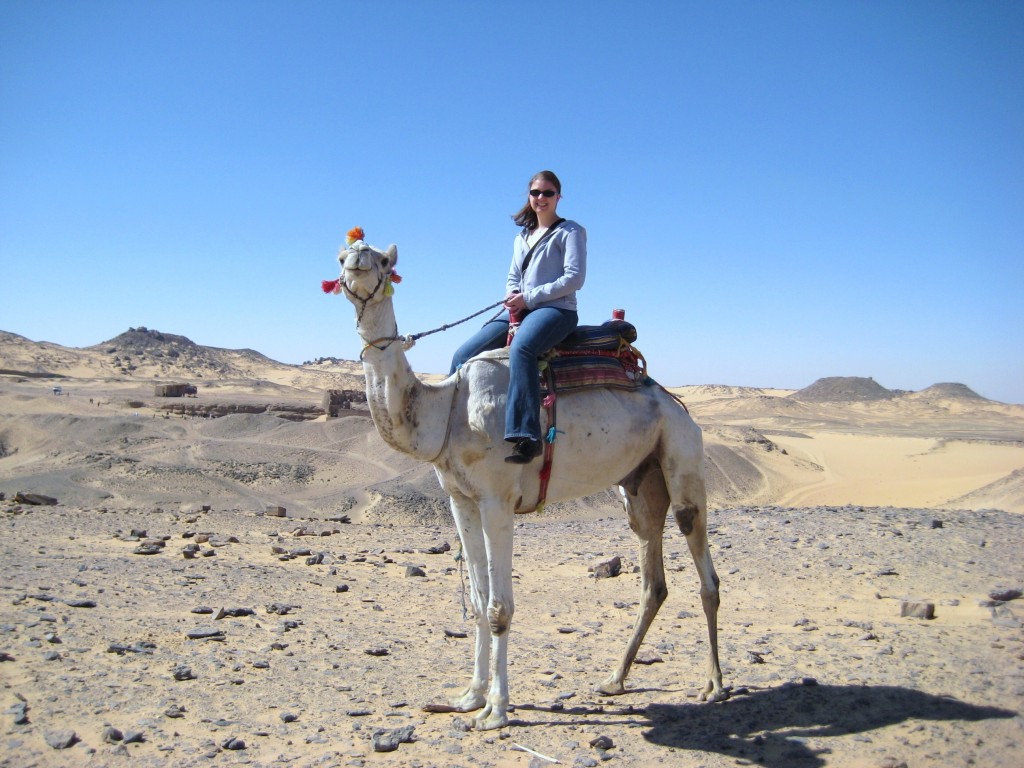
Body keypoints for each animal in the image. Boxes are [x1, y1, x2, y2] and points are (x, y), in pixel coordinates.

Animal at [333, 235, 725, 730]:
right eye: (341, 257)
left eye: (383, 260)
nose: (358, 258)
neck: (446, 410)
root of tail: (676, 402)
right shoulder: (460, 499)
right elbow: (478, 602)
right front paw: (470, 696)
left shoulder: (497, 500)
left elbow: (499, 608)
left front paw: (496, 710)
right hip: (638, 483)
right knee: (652, 576)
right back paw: (614, 679)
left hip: (682, 454)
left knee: (704, 568)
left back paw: (714, 684)